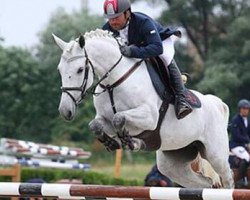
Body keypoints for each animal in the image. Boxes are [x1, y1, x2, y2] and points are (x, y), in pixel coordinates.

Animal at [53, 28, 234, 188]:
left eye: (80, 69)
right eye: (60, 70)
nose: (65, 111)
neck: (114, 82)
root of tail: (217, 103)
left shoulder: (149, 117)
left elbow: (119, 117)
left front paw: (131, 141)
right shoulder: (104, 119)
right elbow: (95, 125)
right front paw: (113, 142)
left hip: (215, 154)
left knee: (227, 179)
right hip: (173, 161)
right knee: (204, 184)